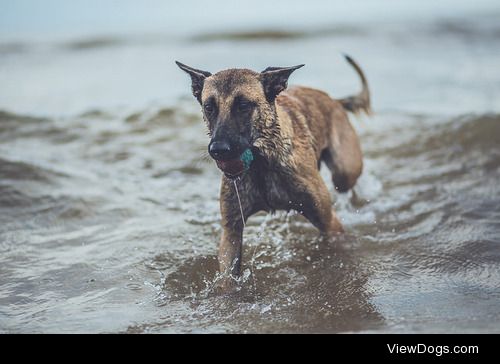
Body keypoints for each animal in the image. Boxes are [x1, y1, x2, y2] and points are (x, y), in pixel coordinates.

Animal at [177, 55, 372, 288]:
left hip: (344, 172)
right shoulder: (231, 232)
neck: (261, 163)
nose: (218, 150)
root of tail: (335, 100)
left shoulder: (329, 223)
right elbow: (228, 277)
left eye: (243, 105)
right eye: (209, 107)